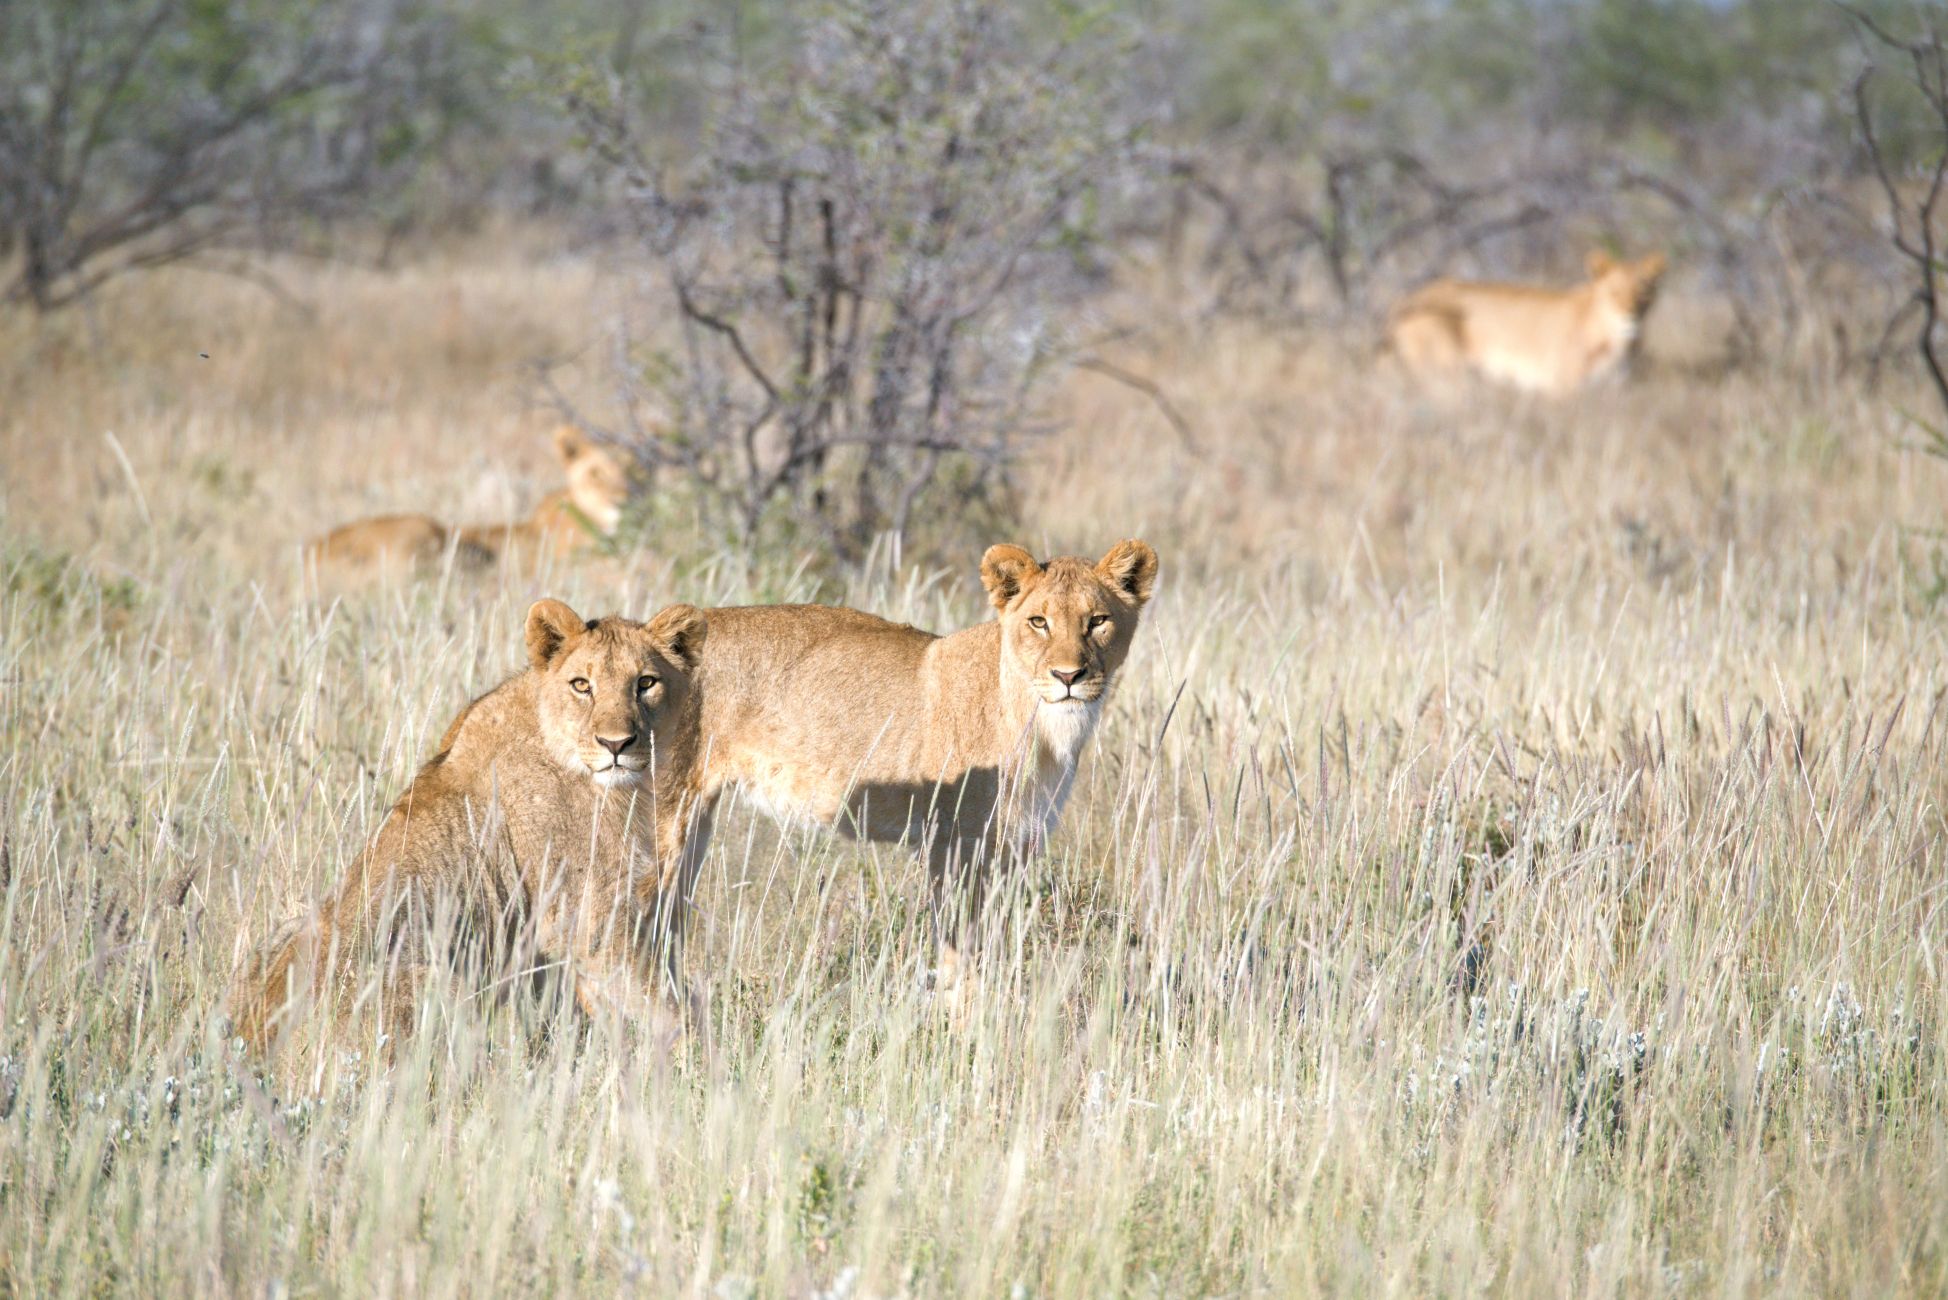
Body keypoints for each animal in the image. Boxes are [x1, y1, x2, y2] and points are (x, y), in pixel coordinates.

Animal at [229, 597, 709, 1053]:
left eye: (645, 683)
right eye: (581, 685)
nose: (616, 744)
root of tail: (252, 1048)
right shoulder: (589, 917)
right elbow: (667, 1007)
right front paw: (701, 1063)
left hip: (286, 929)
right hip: (446, 984)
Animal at [682, 539, 1158, 988]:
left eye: (1097, 621)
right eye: (1039, 622)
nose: (1068, 677)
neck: (1044, 727)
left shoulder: (1015, 847)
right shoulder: (953, 846)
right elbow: (961, 958)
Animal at [1386, 251, 1668, 396]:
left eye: (1643, 293)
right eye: (1614, 292)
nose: (1631, 317)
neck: (1620, 344)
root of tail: (1406, 300)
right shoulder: (1562, 390)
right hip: (1446, 370)